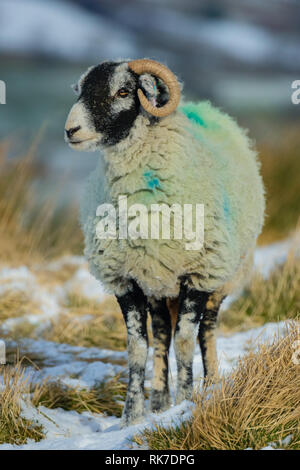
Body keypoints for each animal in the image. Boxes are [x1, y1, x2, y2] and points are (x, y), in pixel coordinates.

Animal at [64, 58, 264, 426]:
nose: (71, 130)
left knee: (205, 332)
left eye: (123, 91)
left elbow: (185, 340)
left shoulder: (199, 273)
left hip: (225, 278)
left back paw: (210, 386)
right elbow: (137, 347)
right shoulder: (125, 279)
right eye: (80, 90)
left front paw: (186, 403)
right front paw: (133, 415)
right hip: (157, 282)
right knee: (160, 334)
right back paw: (159, 400)